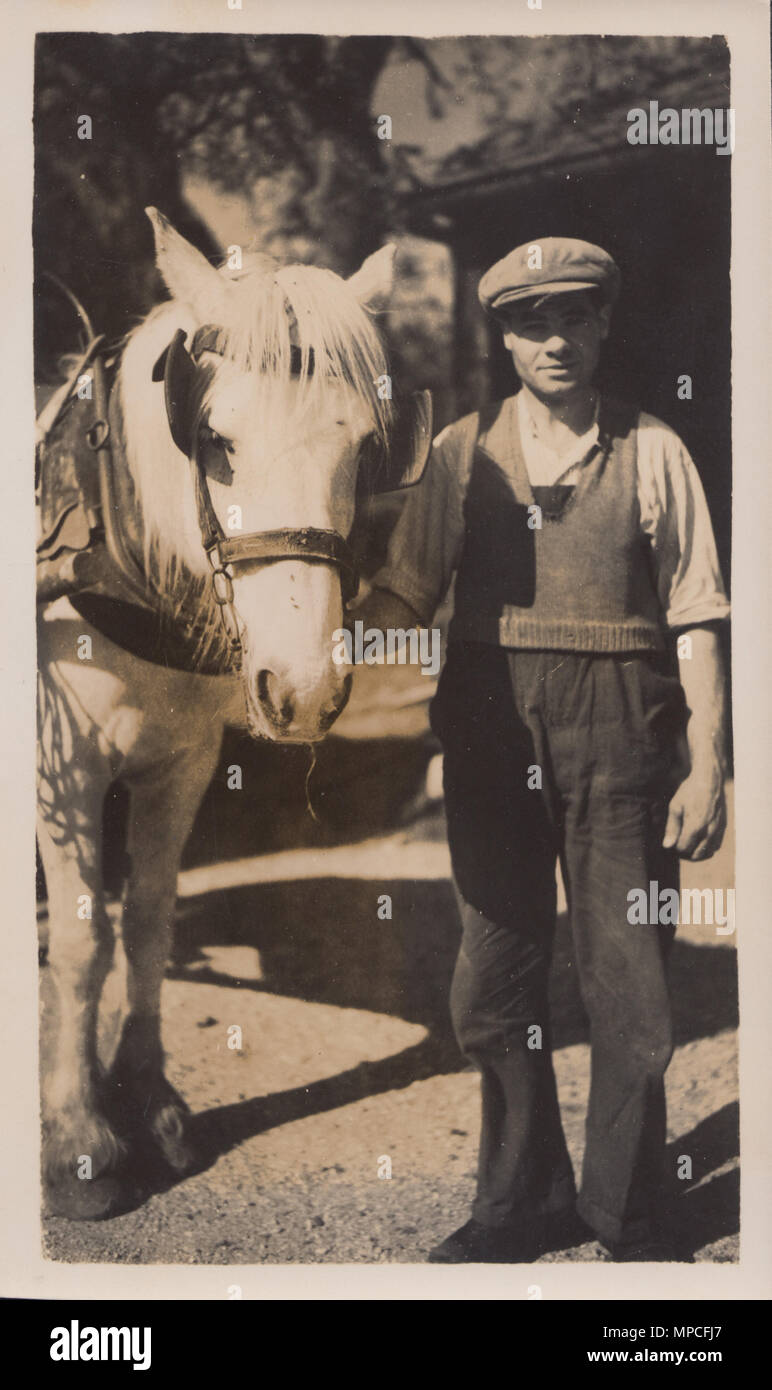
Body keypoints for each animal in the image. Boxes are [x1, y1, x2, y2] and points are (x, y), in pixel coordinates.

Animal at [36, 205, 431, 1217]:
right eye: (211, 438)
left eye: (366, 448)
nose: (303, 690)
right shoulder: (63, 768)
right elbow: (84, 940)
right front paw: (76, 1138)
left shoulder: (181, 763)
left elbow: (146, 920)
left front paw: (152, 1100)